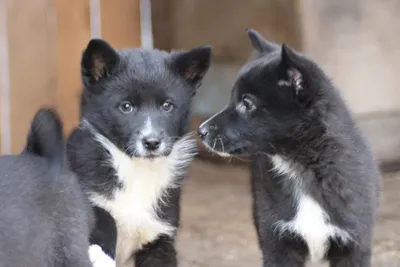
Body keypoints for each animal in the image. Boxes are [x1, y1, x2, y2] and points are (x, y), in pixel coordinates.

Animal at [68, 38, 212, 267]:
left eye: (167, 106)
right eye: (126, 106)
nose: (152, 142)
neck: (136, 169)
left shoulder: (159, 235)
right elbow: (104, 216)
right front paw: (101, 254)